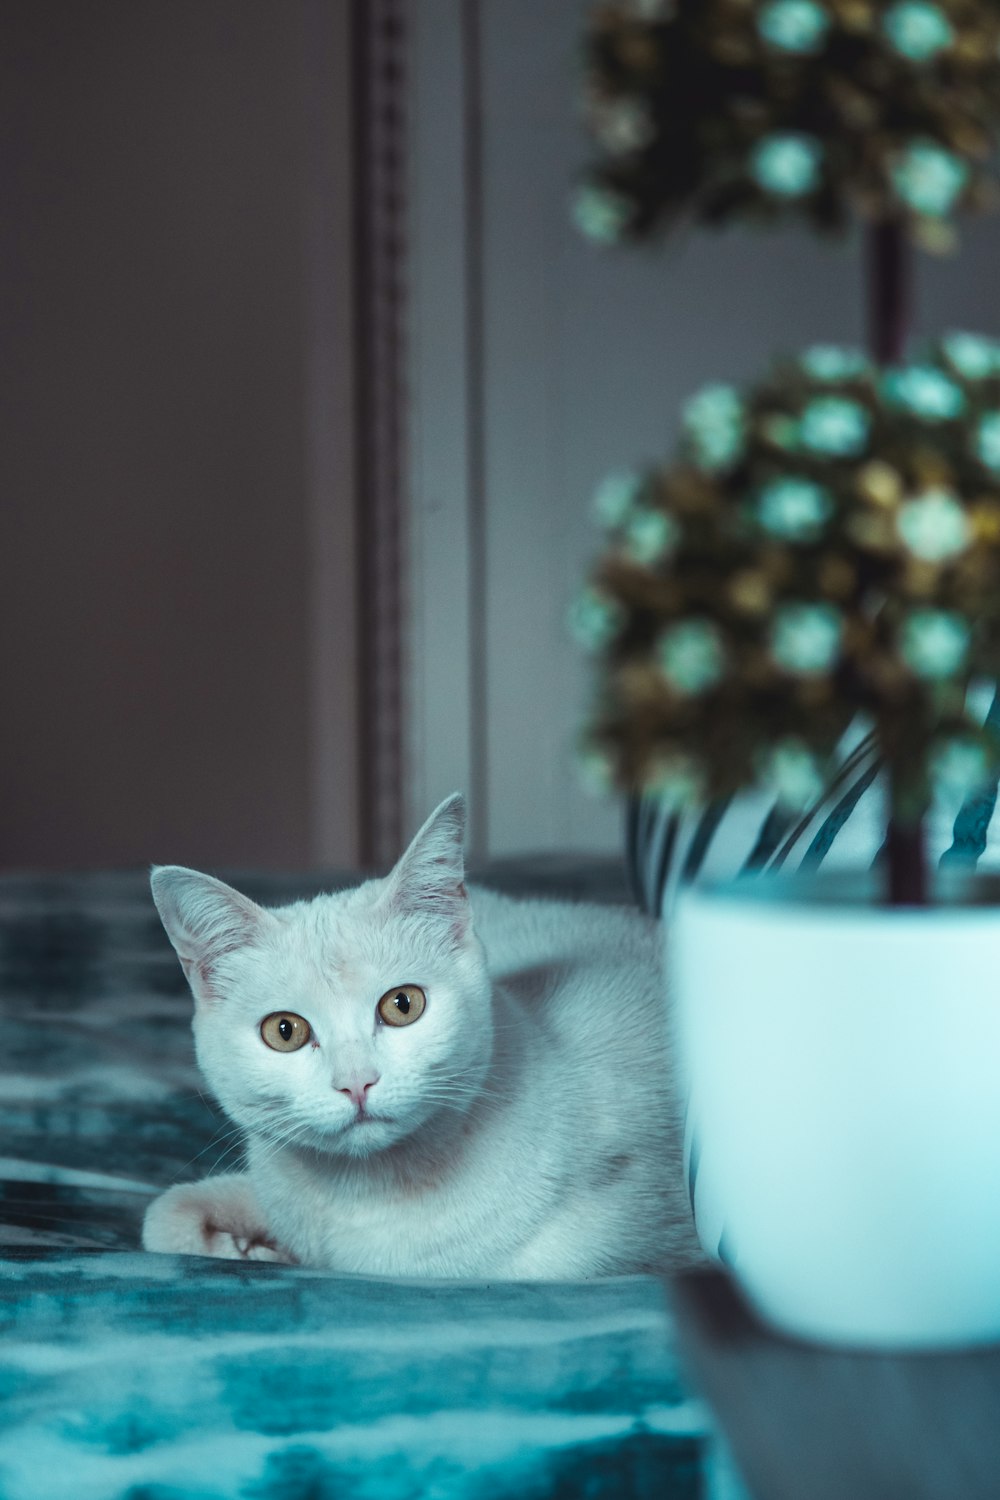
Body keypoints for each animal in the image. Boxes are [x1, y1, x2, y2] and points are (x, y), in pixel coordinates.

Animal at [140, 798, 704, 1278]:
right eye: (285, 1031)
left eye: (403, 1004)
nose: (356, 1083)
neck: (362, 1198)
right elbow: (162, 1217)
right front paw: (250, 1246)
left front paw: (262, 1249)